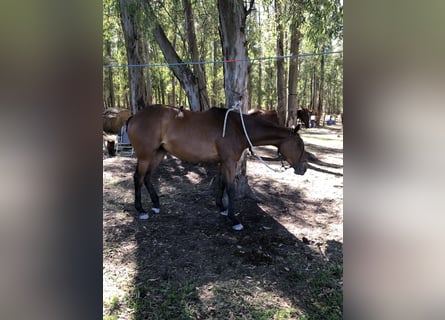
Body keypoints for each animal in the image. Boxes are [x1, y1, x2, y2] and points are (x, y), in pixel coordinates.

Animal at [125, 104, 306, 231]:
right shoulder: (230, 162)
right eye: (299, 144)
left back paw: (156, 205)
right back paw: (141, 210)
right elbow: (230, 188)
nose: (303, 168)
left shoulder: (223, 162)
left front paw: (222, 208)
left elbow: (222, 184)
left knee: (148, 177)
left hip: (158, 153)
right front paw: (234, 219)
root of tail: (134, 117)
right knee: (138, 178)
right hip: (145, 156)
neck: (238, 128)